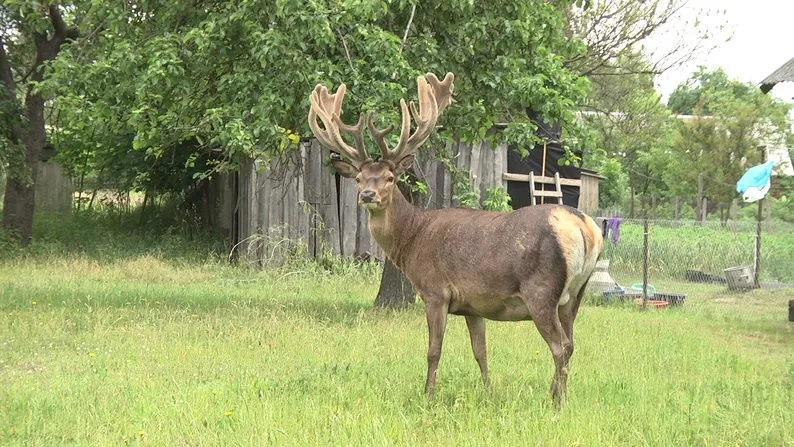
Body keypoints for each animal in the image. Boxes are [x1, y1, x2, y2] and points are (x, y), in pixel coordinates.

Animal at [307, 72, 604, 406]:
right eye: (358, 178)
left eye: (390, 178)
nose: (368, 195)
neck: (412, 239)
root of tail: (585, 227)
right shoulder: (474, 306)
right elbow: (481, 352)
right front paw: (488, 392)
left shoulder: (435, 291)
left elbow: (433, 351)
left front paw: (428, 394)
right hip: (575, 295)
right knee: (571, 343)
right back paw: (555, 393)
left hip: (540, 290)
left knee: (560, 346)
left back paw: (556, 401)